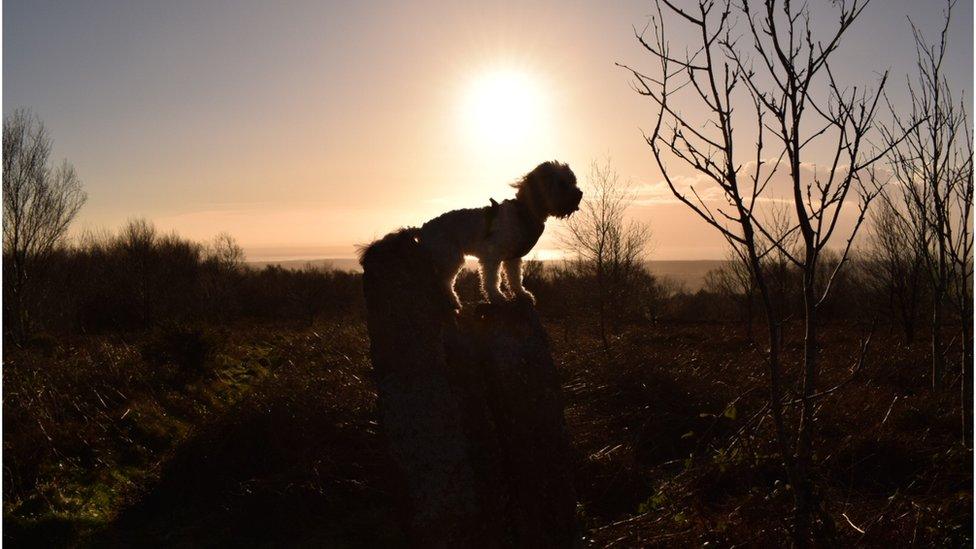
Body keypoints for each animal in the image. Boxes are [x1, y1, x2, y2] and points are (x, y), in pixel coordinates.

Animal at [418, 161, 584, 310]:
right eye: (562, 184)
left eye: (573, 181)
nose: (580, 194)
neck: (524, 213)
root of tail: (423, 228)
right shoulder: (491, 254)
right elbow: (491, 280)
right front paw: (497, 297)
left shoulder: (513, 257)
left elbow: (515, 278)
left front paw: (522, 294)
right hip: (450, 257)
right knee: (443, 282)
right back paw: (452, 302)